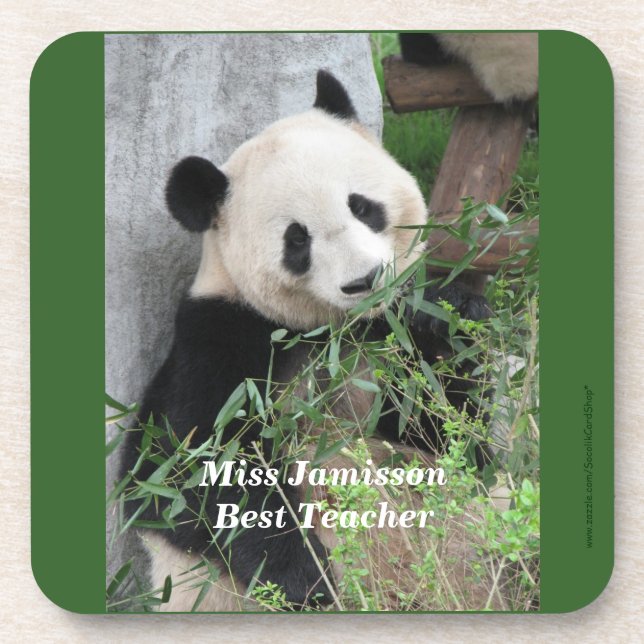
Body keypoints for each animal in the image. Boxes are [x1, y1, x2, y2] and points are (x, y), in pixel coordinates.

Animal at [118, 70, 491, 611]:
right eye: (298, 240)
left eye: (362, 206)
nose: (365, 280)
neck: (334, 328)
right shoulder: (220, 340)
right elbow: (182, 475)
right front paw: (308, 580)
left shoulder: (382, 344)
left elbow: (455, 443)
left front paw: (446, 317)